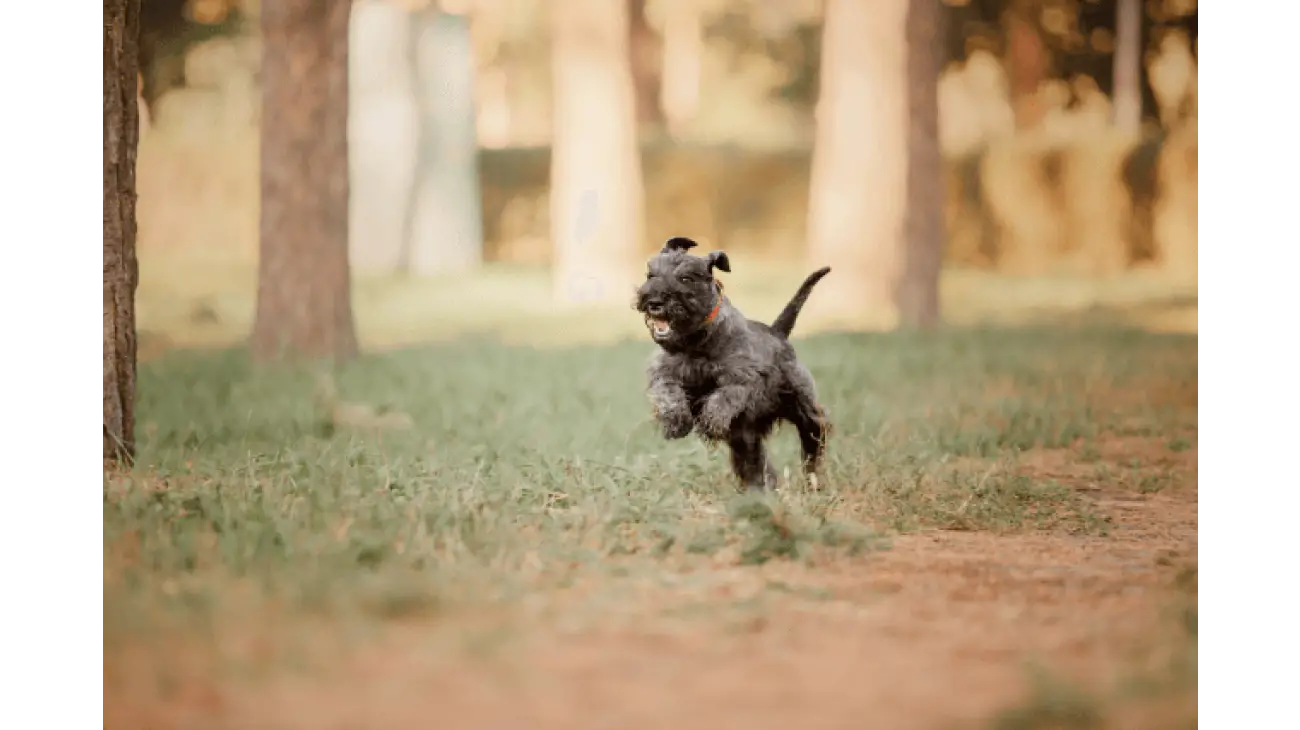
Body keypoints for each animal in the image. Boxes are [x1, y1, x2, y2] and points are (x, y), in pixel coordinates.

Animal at [631, 236, 832, 490]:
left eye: (686, 278)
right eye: (650, 274)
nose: (653, 301)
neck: (695, 340)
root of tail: (778, 332)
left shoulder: (743, 377)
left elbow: (724, 397)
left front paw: (710, 420)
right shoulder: (664, 371)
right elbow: (668, 393)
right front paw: (676, 421)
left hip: (803, 410)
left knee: (813, 440)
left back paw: (812, 481)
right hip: (746, 437)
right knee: (757, 463)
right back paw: (762, 489)